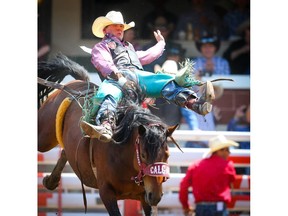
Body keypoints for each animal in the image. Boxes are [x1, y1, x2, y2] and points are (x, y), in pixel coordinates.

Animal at [37, 53, 179, 214]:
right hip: (43, 136)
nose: (155, 196)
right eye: (143, 155)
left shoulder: (145, 197)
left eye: (167, 155)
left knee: (64, 152)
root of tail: (78, 83)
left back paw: (51, 181)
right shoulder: (106, 193)